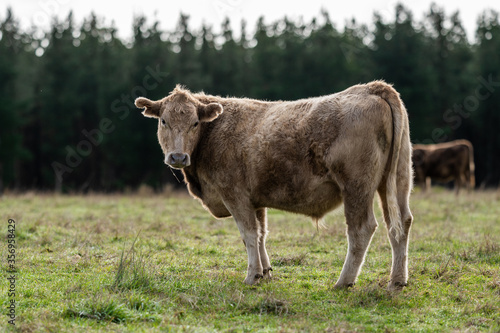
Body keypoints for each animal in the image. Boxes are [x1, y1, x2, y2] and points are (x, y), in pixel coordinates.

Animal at [135, 80, 412, 288]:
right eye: (163, 121)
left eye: (195, 123)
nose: (178, 157)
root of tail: (370, 87)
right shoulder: (255, 200)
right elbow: (261, 235)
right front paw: (265, 272)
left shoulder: (234, 194)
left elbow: (248, 234)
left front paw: (252, 276)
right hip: (398, 180)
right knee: (400, 224)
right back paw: (397, 281)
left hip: (356, 186)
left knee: (361, 229)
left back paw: (344, 282)